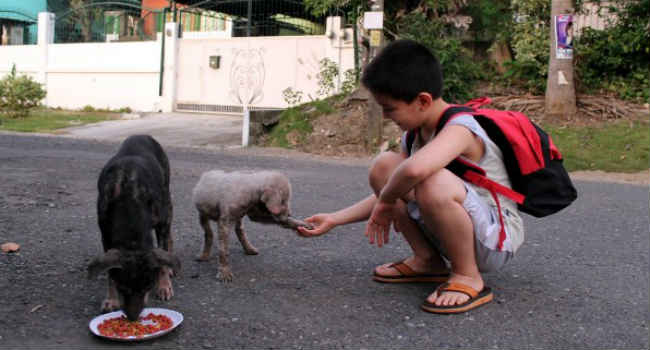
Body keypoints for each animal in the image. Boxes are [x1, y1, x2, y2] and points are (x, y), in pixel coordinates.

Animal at [86, 135, 180, 322]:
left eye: (147, 287)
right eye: (123, 288)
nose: (133, 318)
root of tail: (143, 135)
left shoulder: (161, 222)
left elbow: (162, 256)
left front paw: (164, 285)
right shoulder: (106, 234)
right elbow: (111, 272)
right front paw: (111, 299)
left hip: (167, 199)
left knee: (168, 237)